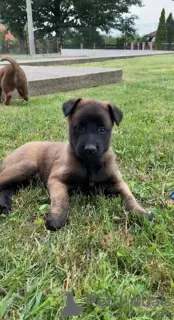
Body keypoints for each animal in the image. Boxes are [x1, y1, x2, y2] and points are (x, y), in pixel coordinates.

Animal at [0, 97, 151, 230]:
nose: (90, 149)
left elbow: (130, 197)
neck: (89, 165)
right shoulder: (56, 179)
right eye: (79, 127)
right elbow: (61, 199)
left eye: (102, 129)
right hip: (27, 166)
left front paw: (141, 212)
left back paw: (4, 205)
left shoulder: (118, 183)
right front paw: (57, 217)